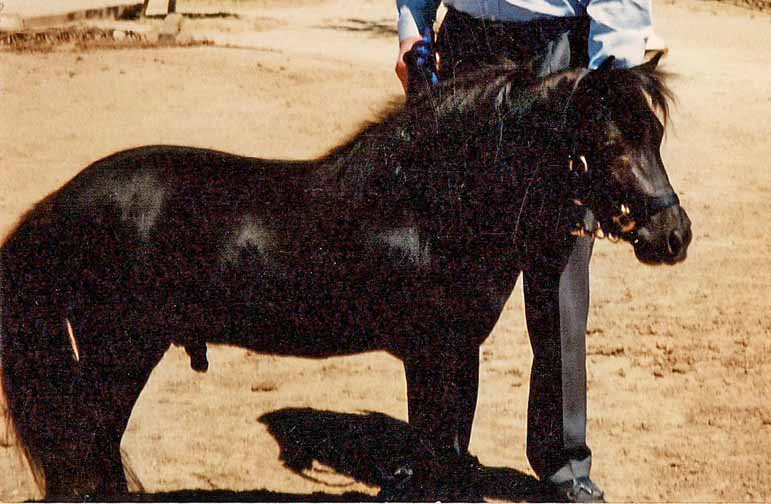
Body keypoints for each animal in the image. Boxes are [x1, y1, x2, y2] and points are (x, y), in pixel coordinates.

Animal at [0, 52, 691, 499]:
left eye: (656, 134)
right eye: (610, 144)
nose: (675, 235)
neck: (427, 205)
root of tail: (60, 202)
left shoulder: (447, 354)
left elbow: (442, 452)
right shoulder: (435, 353)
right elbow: (435, 454)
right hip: (121, 354)